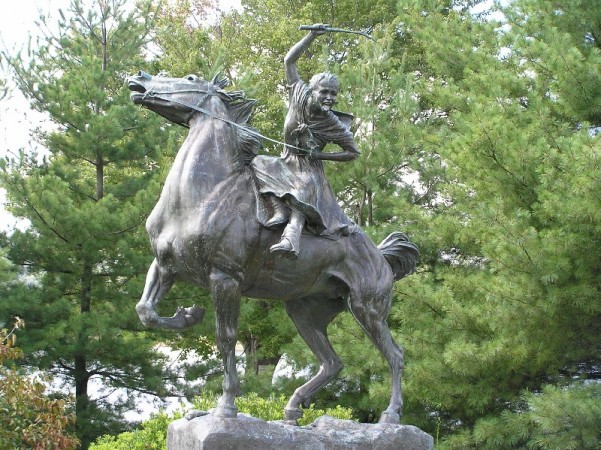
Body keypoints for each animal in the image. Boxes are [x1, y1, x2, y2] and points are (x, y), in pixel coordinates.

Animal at [126, 71, 418, 426]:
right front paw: (188, 315)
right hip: (305, 311)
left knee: (395, 355)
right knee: (333, 363)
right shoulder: (165, 266)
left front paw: (226, 407)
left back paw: (390, 415)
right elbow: (145, 311)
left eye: (190, 78)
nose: (138, 78)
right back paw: (292, 410)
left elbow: (226, 337)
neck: (206, 193)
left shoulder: (225, 278)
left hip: (367, 309)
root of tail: (381, 257)